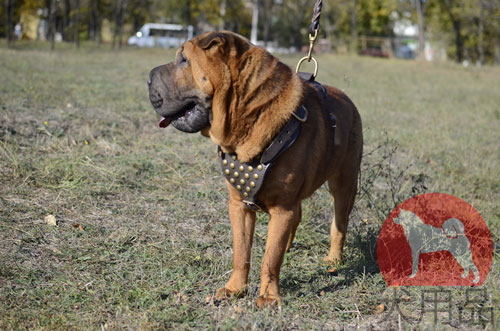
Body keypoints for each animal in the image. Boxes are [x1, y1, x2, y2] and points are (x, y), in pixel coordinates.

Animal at [146, 31, 362, 308]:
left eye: (184, 60)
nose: (148, 77)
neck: (246, 116)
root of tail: (348, 100)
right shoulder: (239, 205)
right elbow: (242, 252)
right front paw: (234, 289)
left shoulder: (282, 207)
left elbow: (270, 258)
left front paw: (268, 297)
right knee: (298, 217)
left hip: (344, 185)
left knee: (339, 225)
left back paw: (333, 260)